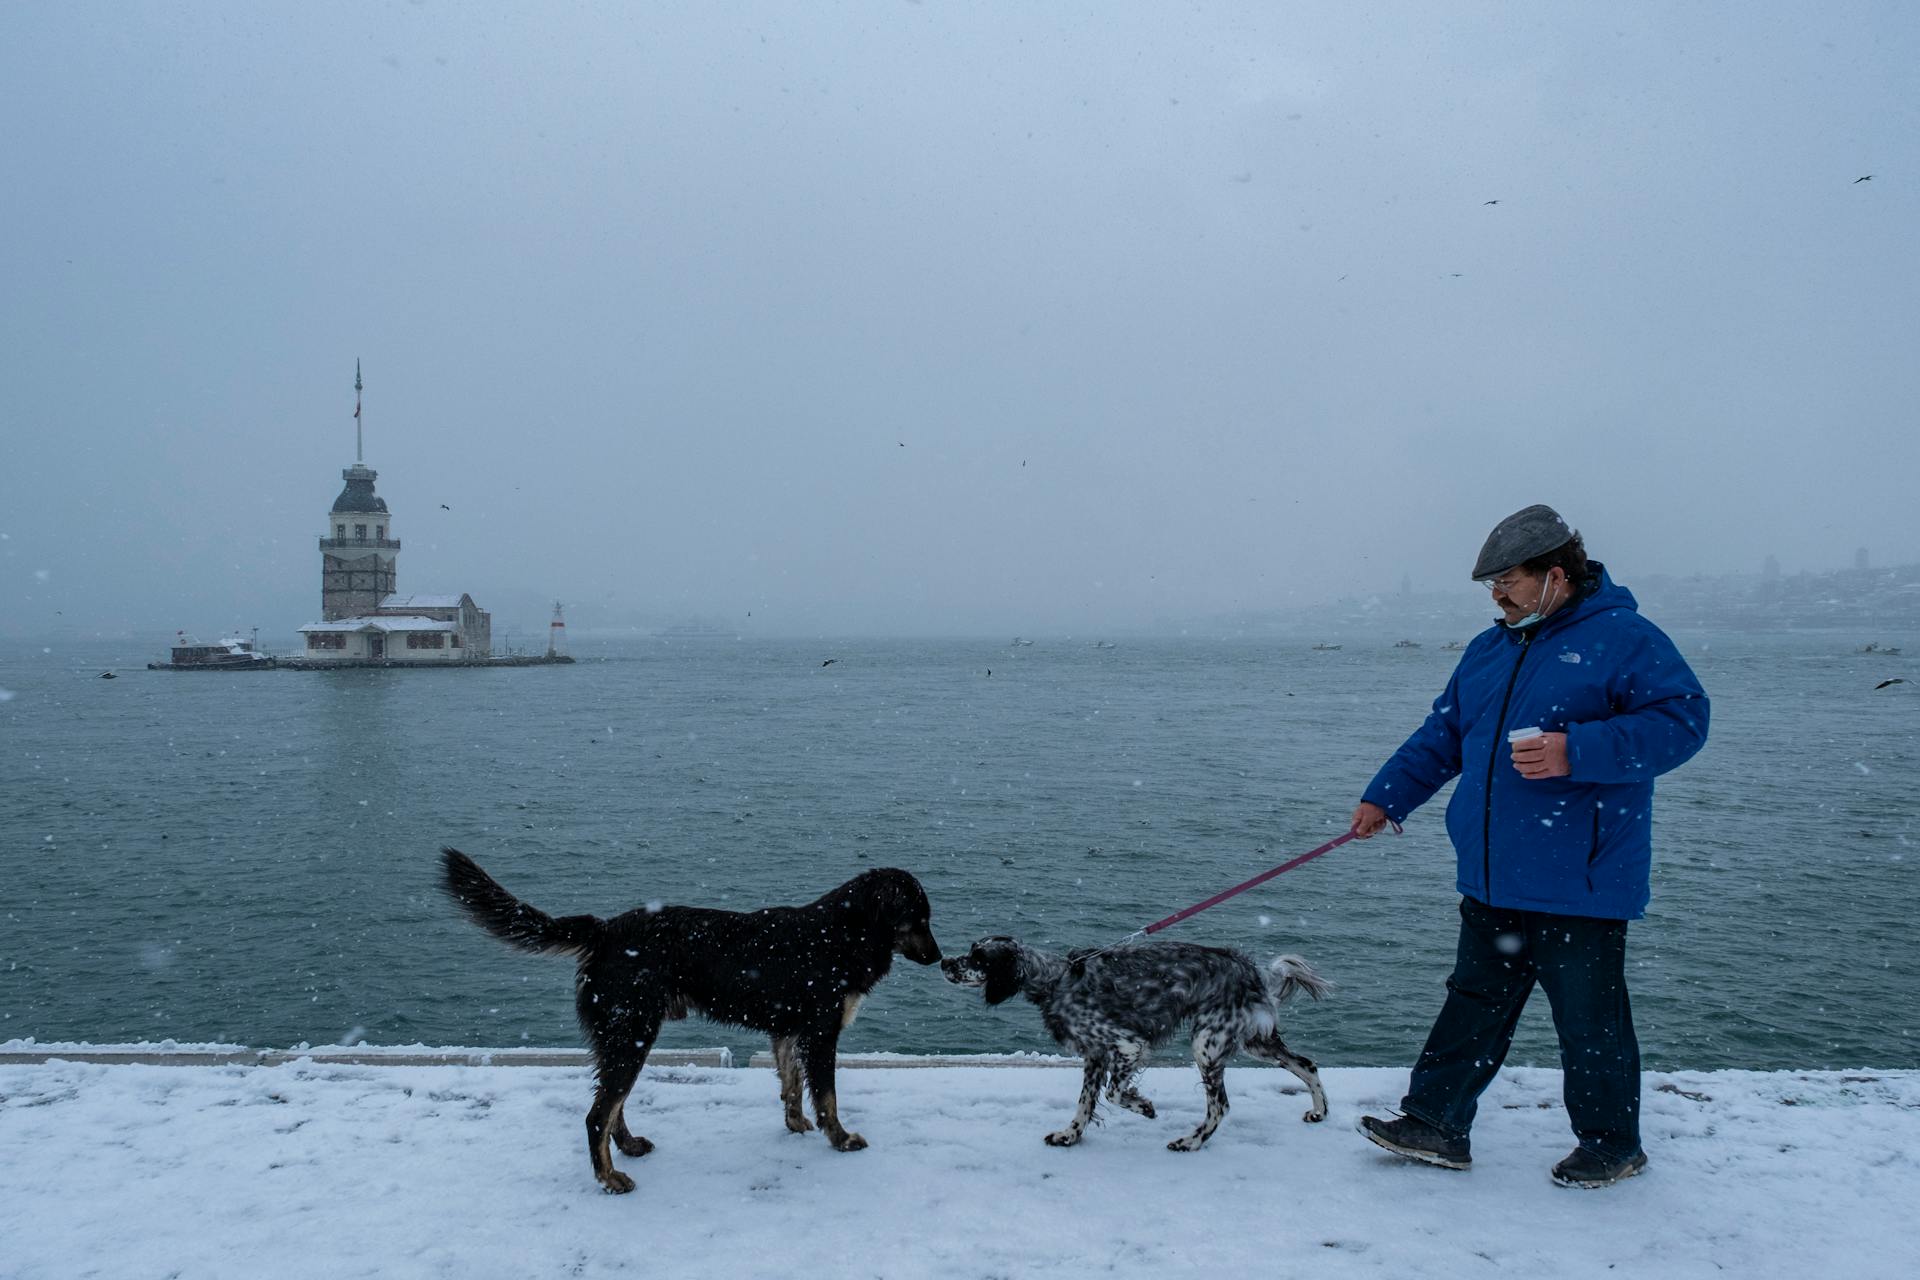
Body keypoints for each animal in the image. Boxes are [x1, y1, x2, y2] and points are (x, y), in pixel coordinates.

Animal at [441, 852, 936, 1189]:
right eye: (920, 918)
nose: (939, 958)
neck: (842, 932)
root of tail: (605, 930)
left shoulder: (788, 1032)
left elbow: (792, 1086)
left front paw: (795, 1126)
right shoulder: (820, 1033)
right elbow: (828, 1096)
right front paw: (840, 1139)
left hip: (620, 1039)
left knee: (611, 1105)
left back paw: (628, 1148)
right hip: (633, 1035)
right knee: (598, 1114)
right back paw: (609, 1178)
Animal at [936, 936, 1328, 1159]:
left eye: (978, 958)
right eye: (970, 951)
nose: (943, 962)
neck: (1055, 980)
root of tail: (1253, 971)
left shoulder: (1128, 1045)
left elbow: (1114, 1093)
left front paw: (1145, 1107)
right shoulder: (1095, 1055)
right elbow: (1084, 1104)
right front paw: (1069, 1136)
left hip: (1206, 1043)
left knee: (1220, 1106)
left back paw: (1190, 1142)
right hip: (1252, 1041)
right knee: (1306, 1064)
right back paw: (1319, 1112)